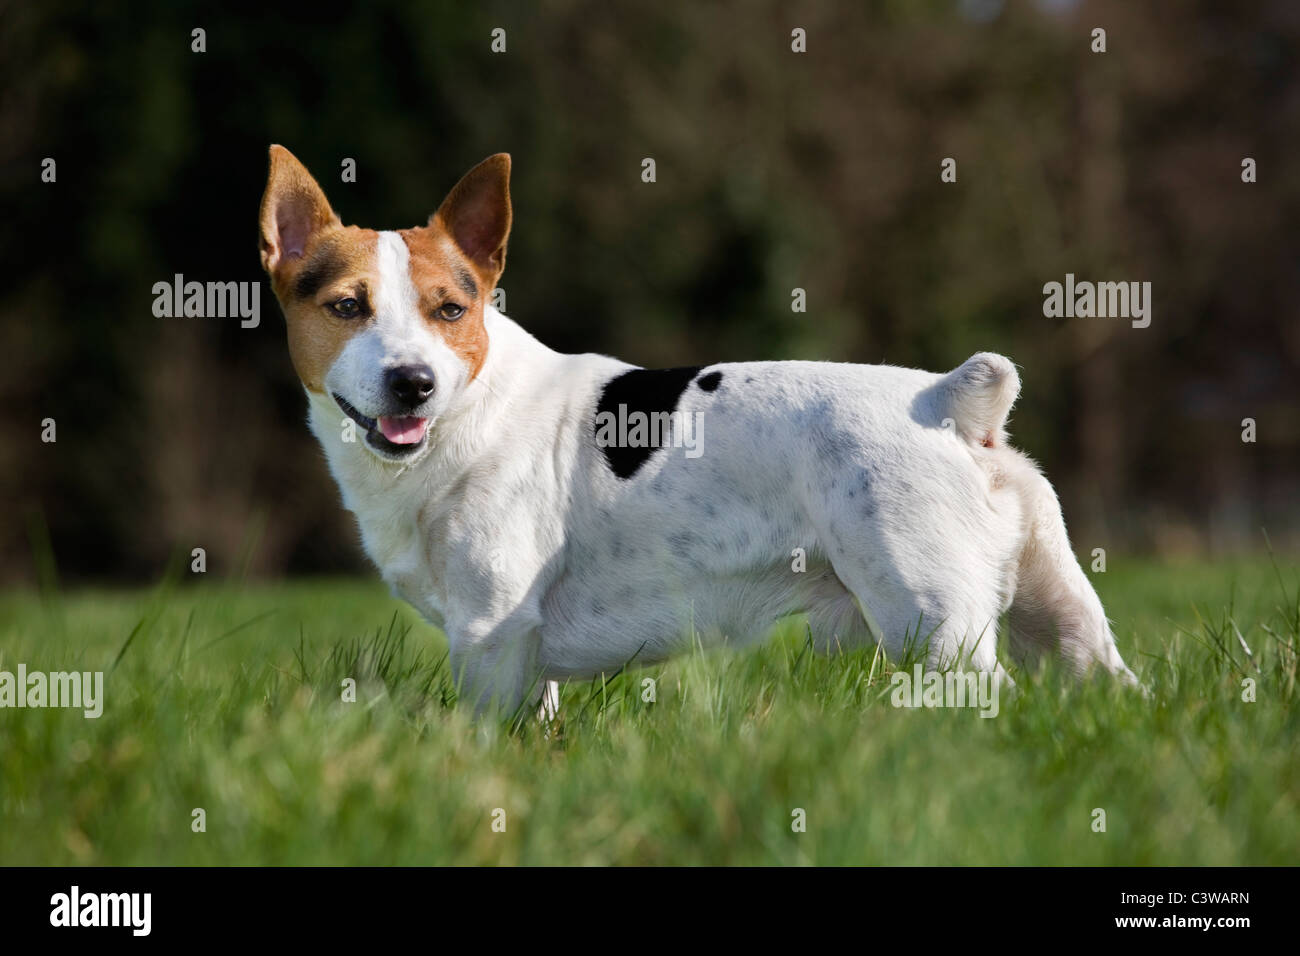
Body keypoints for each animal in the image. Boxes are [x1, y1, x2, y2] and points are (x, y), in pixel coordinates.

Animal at [261, 145, 1138, 717]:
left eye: (450, 309)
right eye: (347, 306)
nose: (414, 382)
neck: (469, 409)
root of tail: (953, 402)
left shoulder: (490, 637)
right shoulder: (523, 656)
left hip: (934, 622)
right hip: (1060, 621)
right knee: (1109, 688)